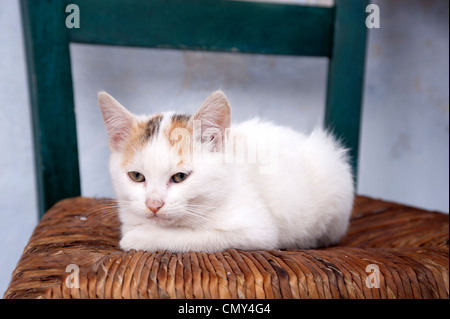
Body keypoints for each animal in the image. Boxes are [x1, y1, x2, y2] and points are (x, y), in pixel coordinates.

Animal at [98, 90, 356, 255]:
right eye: (136, 176)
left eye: (180, 177)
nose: (153, 204)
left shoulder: (257, 230)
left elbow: (194, 237)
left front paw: (140, 237)